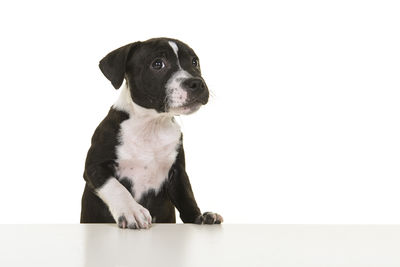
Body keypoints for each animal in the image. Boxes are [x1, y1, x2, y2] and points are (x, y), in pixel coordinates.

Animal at [79, 38, 223, 230]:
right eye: (158, 64)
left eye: (195, 62)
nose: (197, 83)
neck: (151, 125)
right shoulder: (94, 167)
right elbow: (115, 187)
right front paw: (132, 211)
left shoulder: (178, 172)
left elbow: (187, 197)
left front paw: (200, 217)